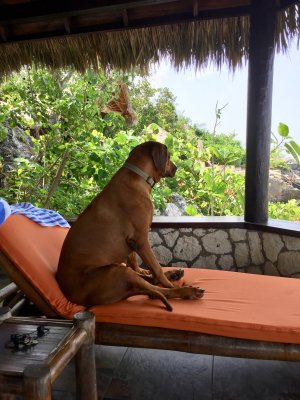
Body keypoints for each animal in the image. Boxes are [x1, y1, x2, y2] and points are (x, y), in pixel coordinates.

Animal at [56, 141, 204, 312]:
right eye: (169, 156)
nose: (176, 168)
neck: (138, 177)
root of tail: (72, 296)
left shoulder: (132, 242)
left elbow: (136, 262)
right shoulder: (141, 239)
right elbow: (157, 269)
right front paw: (170, 284)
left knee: (149, 282)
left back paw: (174, 274)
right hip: (117, 270)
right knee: (156, 292)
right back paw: (186, 290)